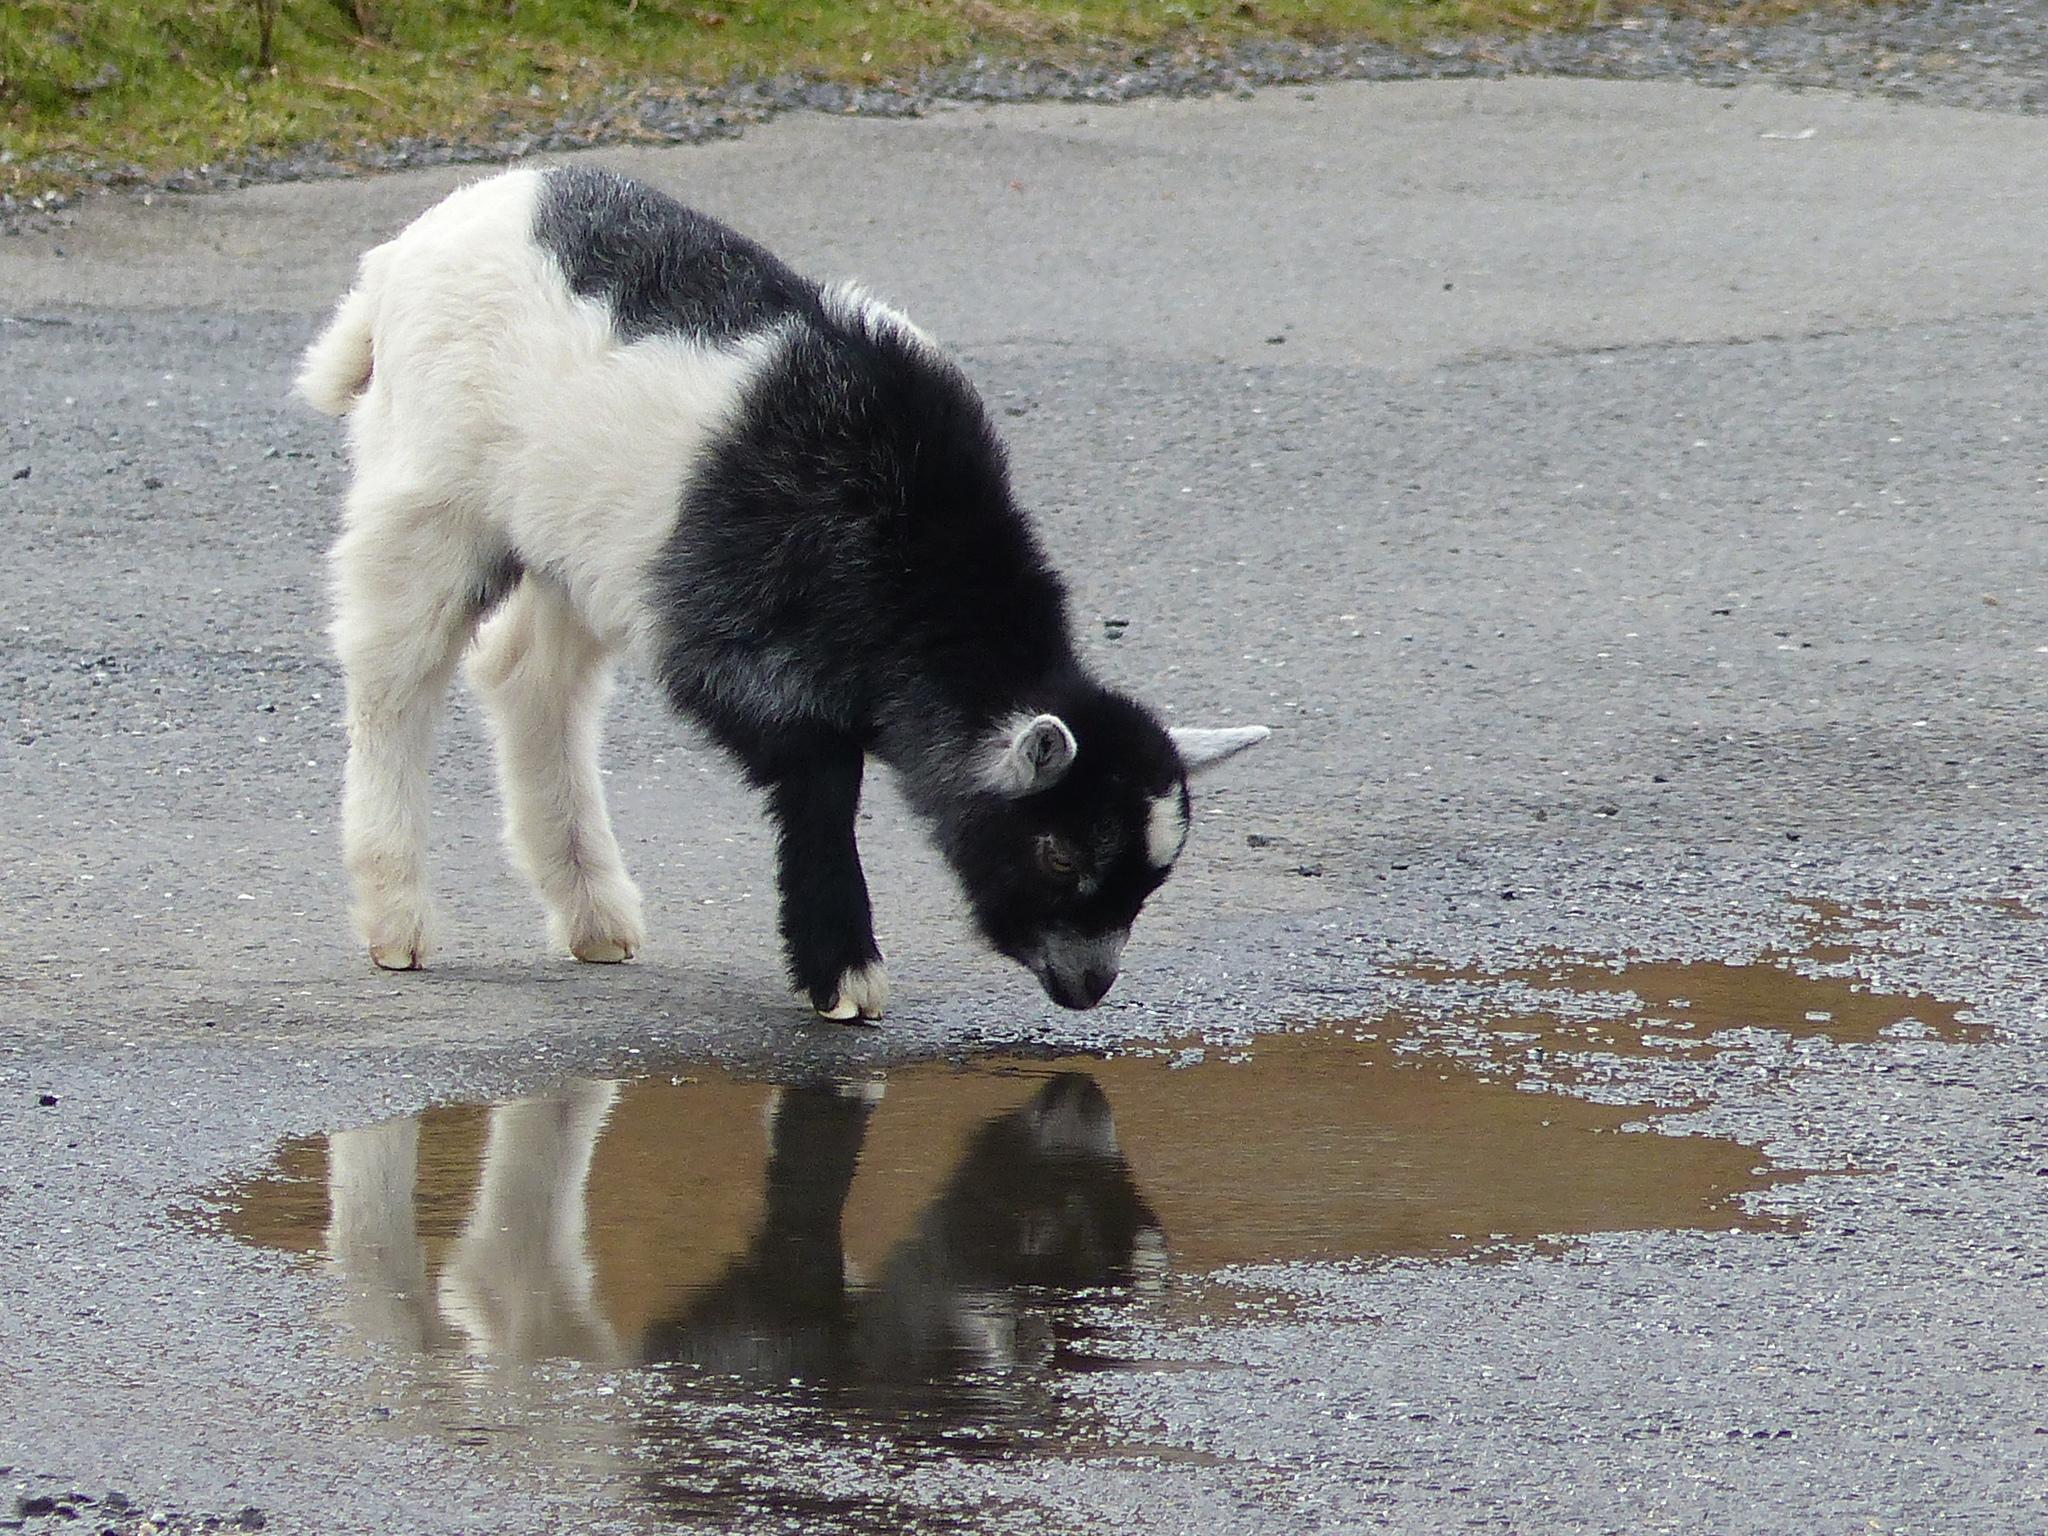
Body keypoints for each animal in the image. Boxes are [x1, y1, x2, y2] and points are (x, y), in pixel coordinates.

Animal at [298, 166, 1266, 1018]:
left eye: (1151, 880)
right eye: (1059, 853)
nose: (1090, 987)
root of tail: (399, 256)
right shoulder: (732, 633)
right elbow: (821, 776)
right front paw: (843, 974)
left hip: (579, 541)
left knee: (530, 677)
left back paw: (592, 911)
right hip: (428, 492)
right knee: (394, 678)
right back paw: (397, 919)